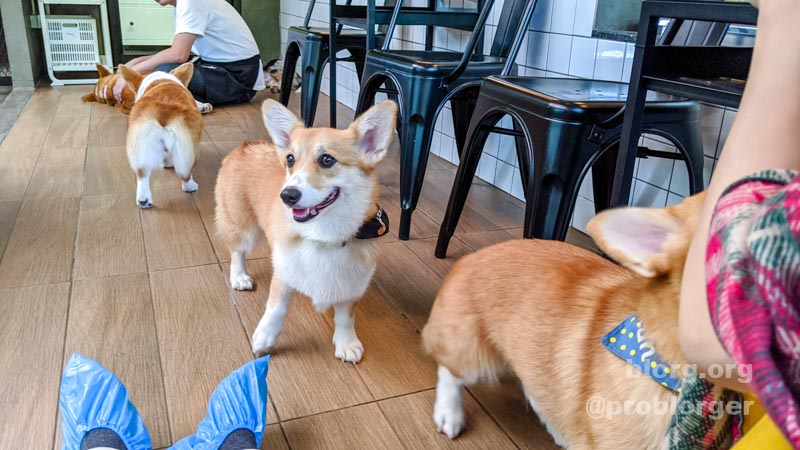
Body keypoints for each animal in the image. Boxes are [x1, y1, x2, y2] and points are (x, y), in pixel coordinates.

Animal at [120, 63, 206, 209]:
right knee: (186, 174)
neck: (160, 80)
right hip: (190, 147)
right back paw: (191, 186)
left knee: (142, 174)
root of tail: (163, 111)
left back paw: (143, 200)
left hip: (141, 144)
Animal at [216, 98, 396, 362]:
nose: (287, 196)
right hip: (242, 226)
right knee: (237, 250)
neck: (325, 235)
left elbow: (345, 317)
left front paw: (347, 343)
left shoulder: (352, 284)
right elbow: (276, 308)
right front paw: (264, 338)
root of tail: (245, 145)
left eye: (327, 160)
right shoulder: (283, 271)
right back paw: (239, 277)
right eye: (290, 159)